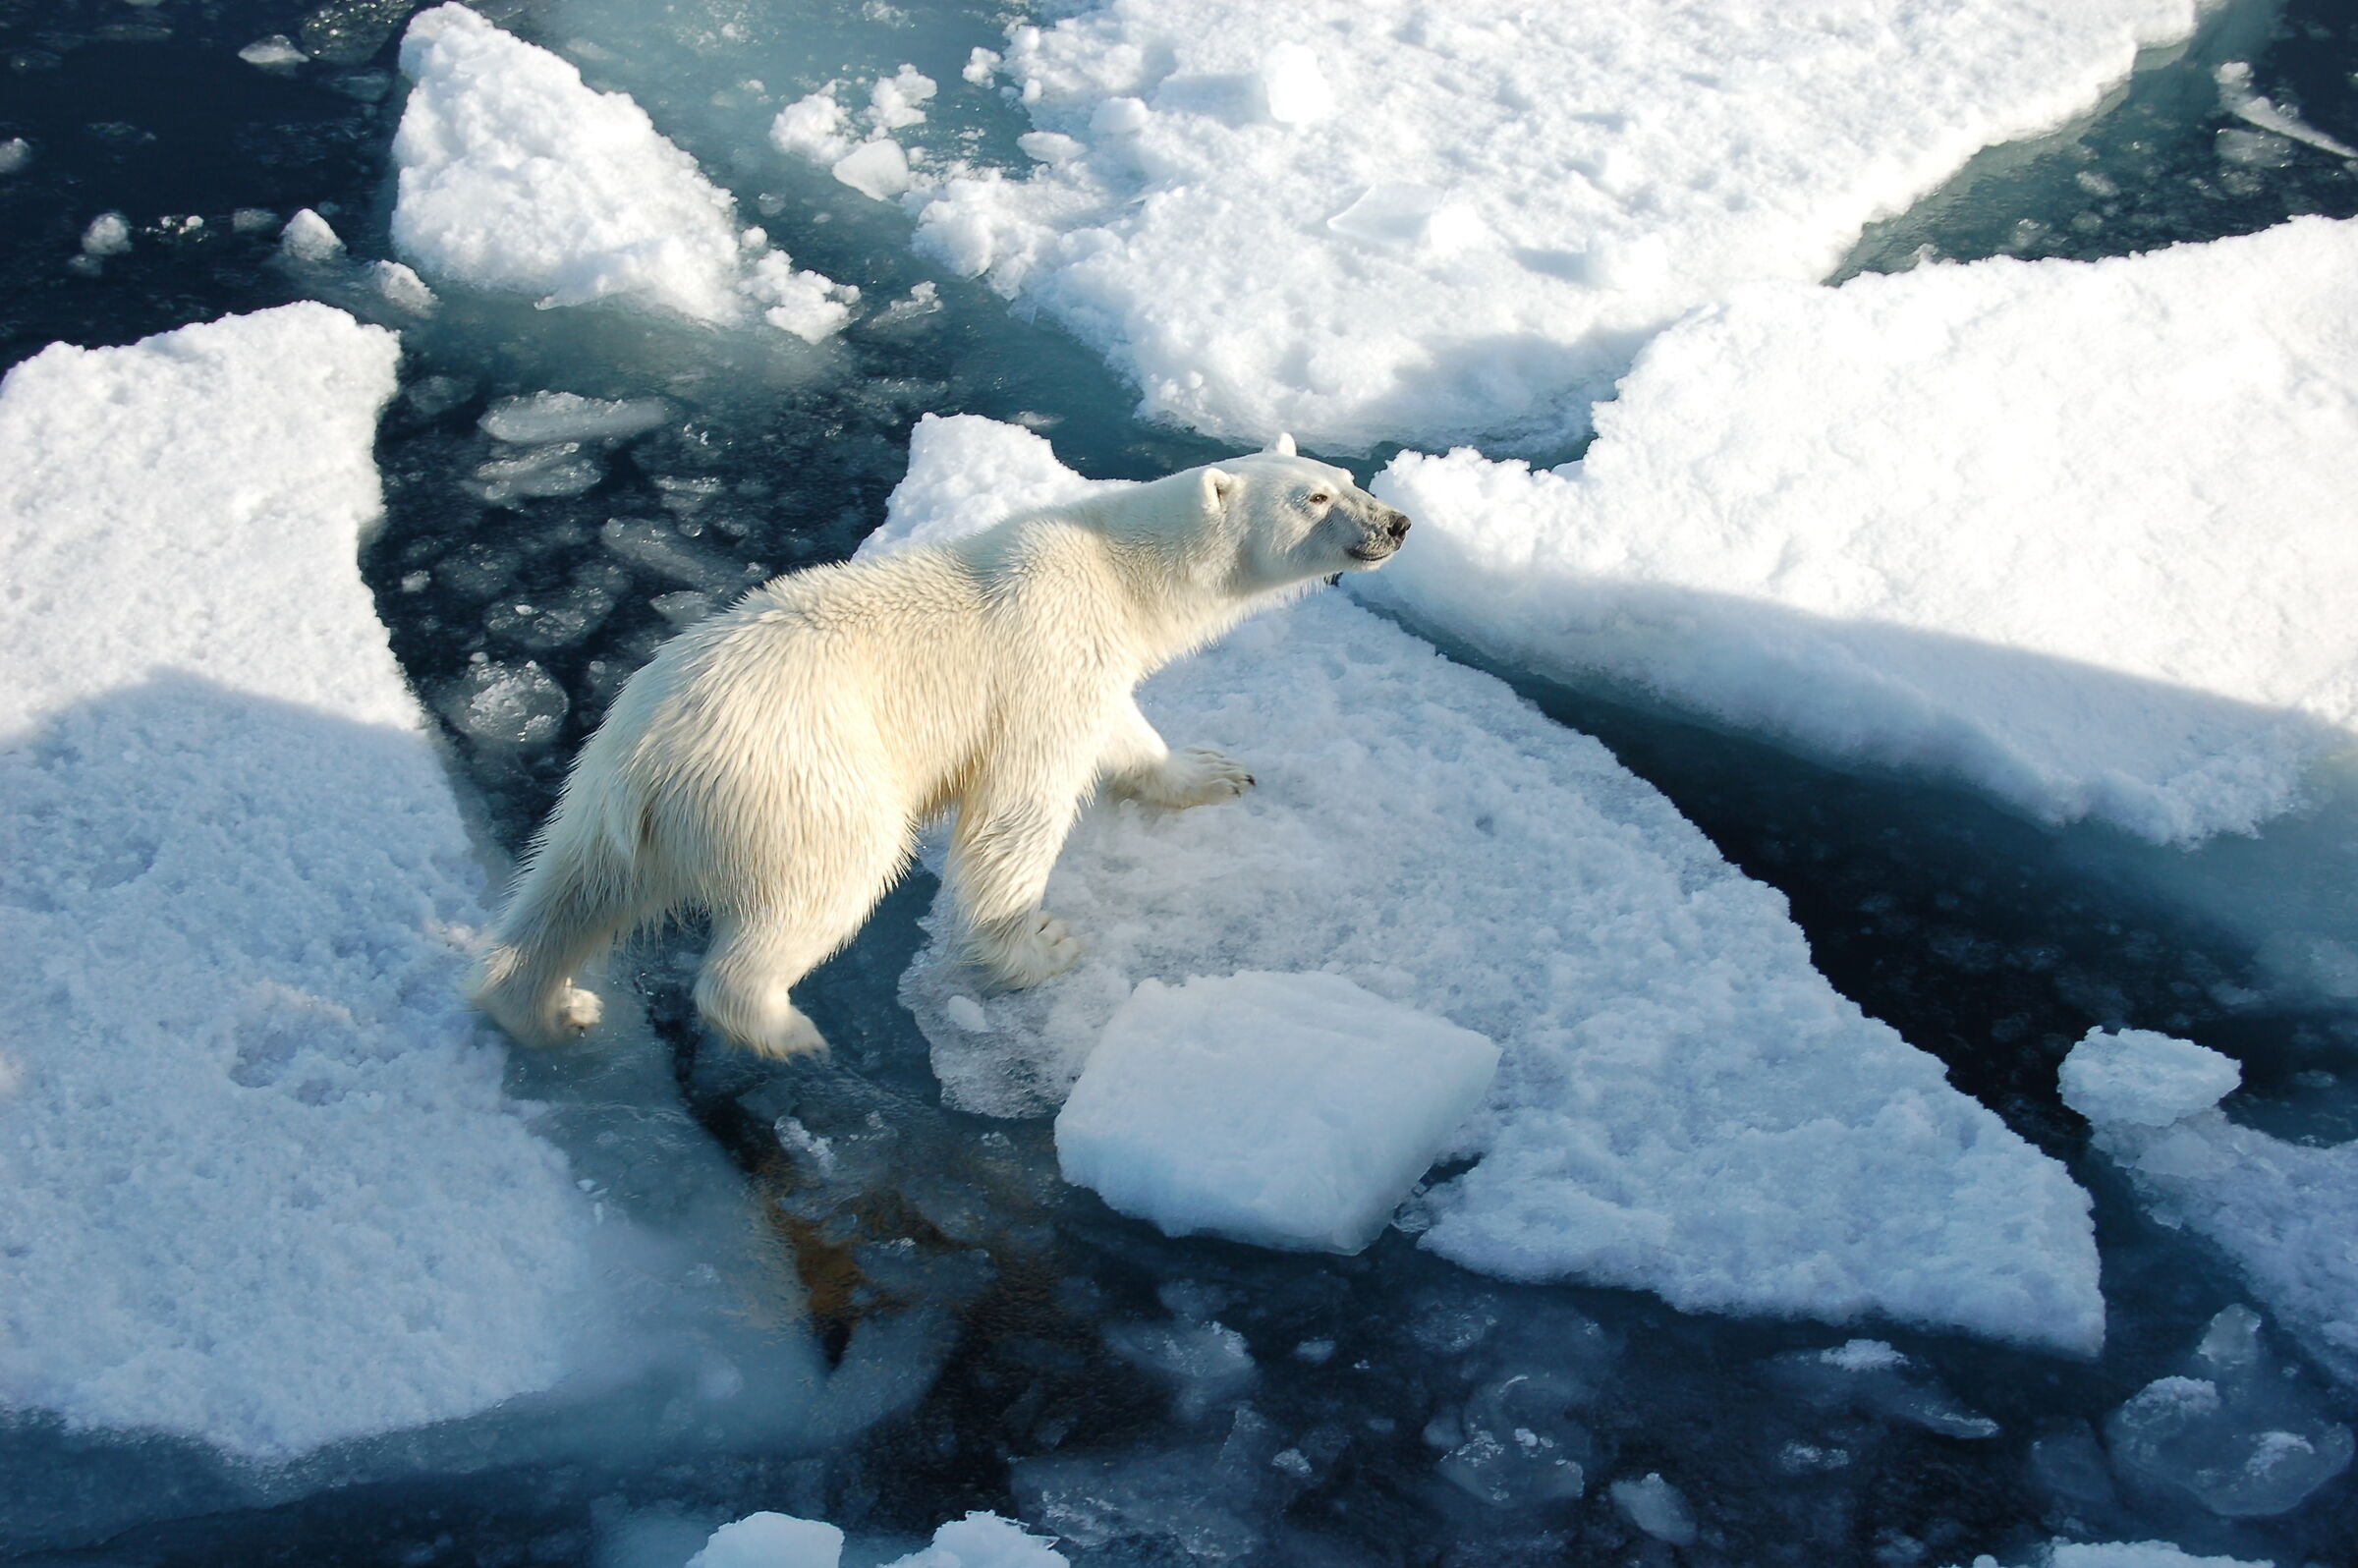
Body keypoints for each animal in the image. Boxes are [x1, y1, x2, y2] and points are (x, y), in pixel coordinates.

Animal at [465, 434, 1411, 1058]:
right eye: (1315, 499)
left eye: (1345, 475)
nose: (1399, 521)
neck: (1116, 570)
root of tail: (647, 764)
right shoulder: (1041, 660)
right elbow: (1018, 815)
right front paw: (1038, 947)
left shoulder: (1090, 662)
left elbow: (1125, 729)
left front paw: (1213, 771)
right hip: (798, 776)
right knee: (827, 883)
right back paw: (785, 1028)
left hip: (599, 800)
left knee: (565, 898)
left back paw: (549, 1008)